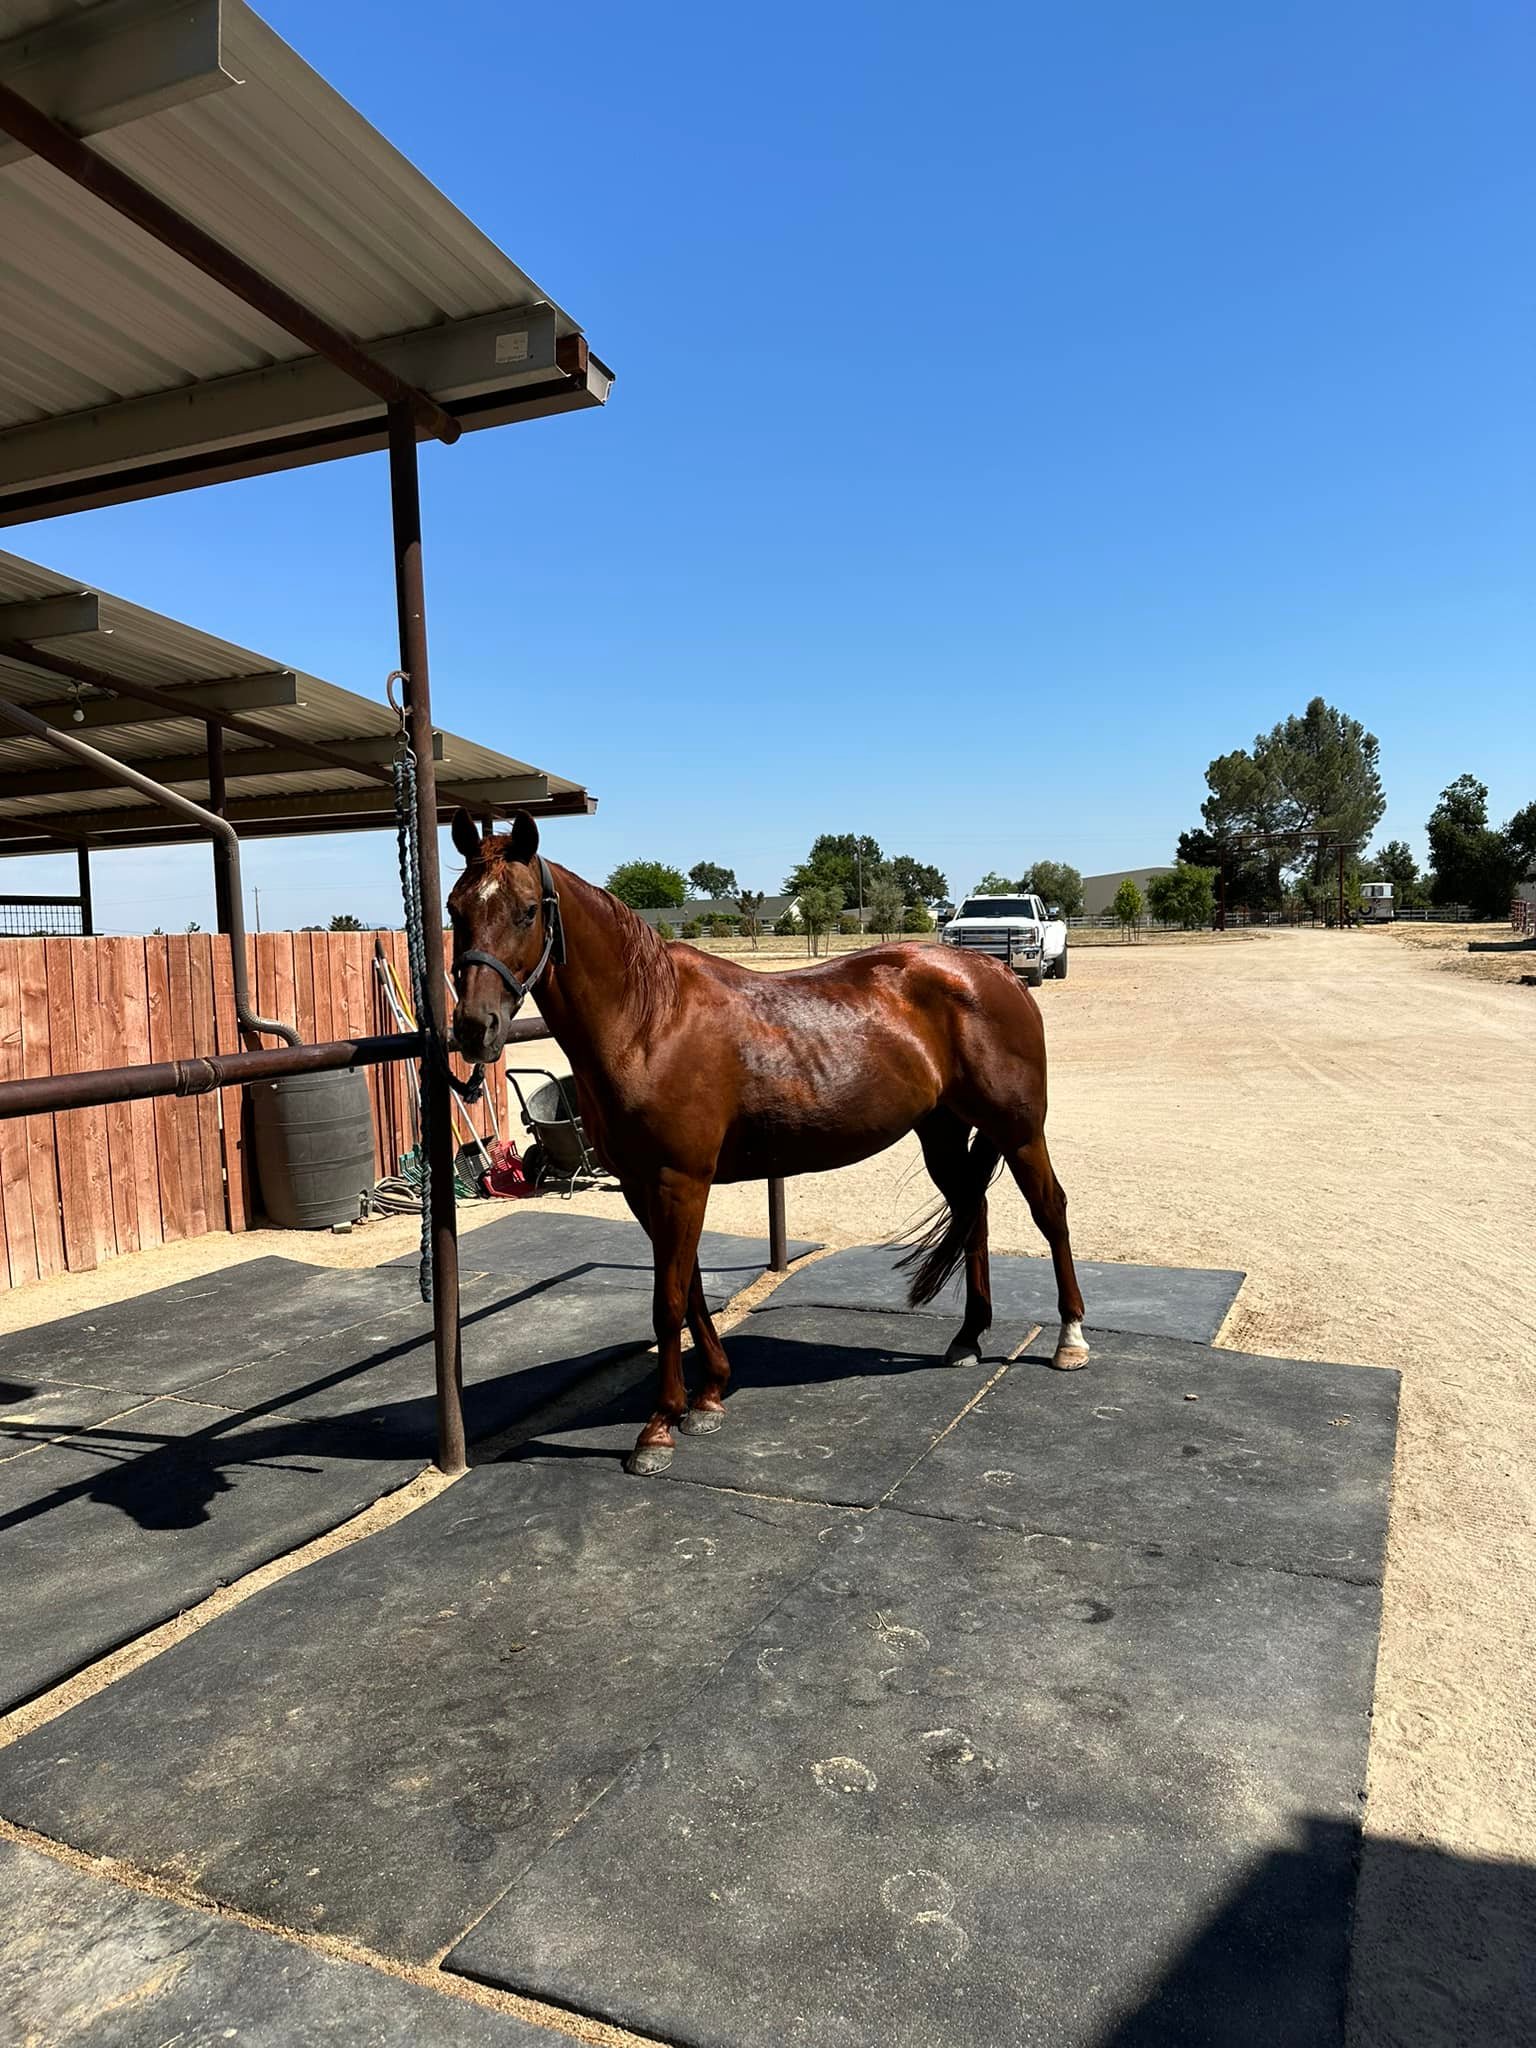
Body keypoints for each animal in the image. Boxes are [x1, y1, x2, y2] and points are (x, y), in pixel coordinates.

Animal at [447, 810, 1087, 1476]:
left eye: (527, 911)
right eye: (455, 908)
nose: (474, 1027)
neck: (649, 1022)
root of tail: (996, 972)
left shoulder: (680, 1181)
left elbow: (667, 1300)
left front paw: (659, 1427)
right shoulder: (640, 1185)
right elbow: (691, 1287)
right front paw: (708, 1394)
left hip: (1019, 1131)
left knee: (1050, 1211)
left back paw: (1069, 1339)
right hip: (942, 1131)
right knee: (973, 1213)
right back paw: (968, 1337)